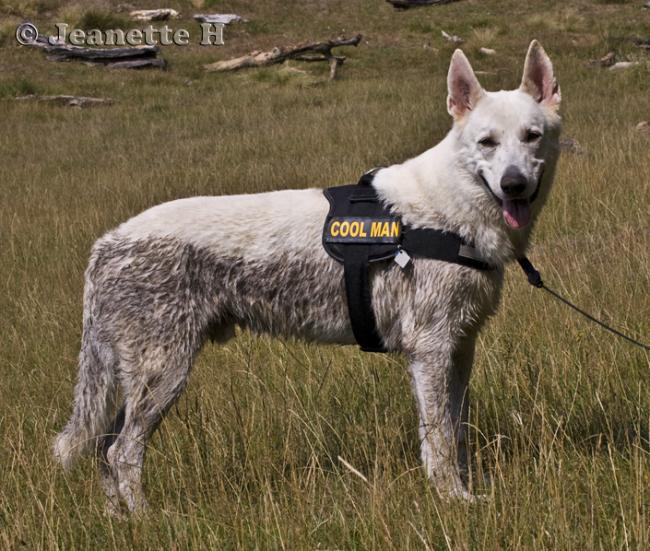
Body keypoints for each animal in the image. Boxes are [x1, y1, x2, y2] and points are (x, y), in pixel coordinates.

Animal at [54, 40, 560, 512]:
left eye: (531, 137)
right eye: (487, 142)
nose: (514, 184)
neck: (451, 213)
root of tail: (105, 245)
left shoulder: (460, 347)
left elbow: (458, 433)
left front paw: (468, 491)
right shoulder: (430, 351)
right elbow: (438, 441)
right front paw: (454, 501)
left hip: (143, 380)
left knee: (103, 449)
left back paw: (117, 520)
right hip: (165, 375)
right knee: (121, 452)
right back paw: (147, 520)